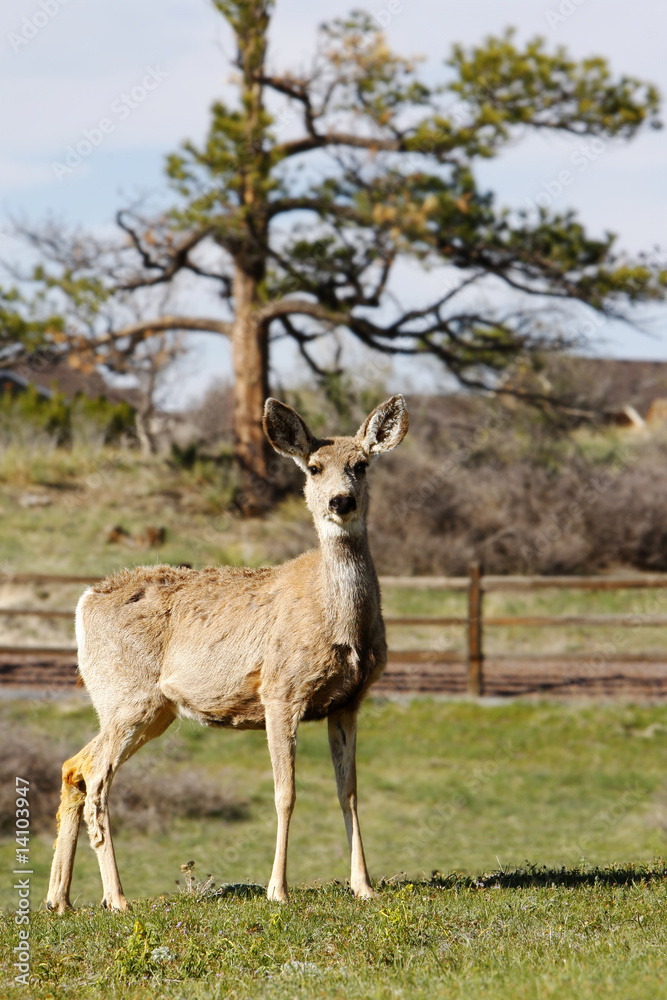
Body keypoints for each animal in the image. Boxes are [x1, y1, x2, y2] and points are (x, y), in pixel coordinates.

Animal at [47, 394, 408, 912]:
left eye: (361, 465)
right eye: (314, 468)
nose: (342, 501)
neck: (339, 622)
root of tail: (83, 601)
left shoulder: (348, 702)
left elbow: (350, 792)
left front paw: (364, 886)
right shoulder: (280, 691)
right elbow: (285, 792)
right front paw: (277, 890)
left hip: (145, 709)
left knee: (74, 766)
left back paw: (59, 900)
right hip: (127, 697)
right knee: (97, 779)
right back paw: (116, 899)